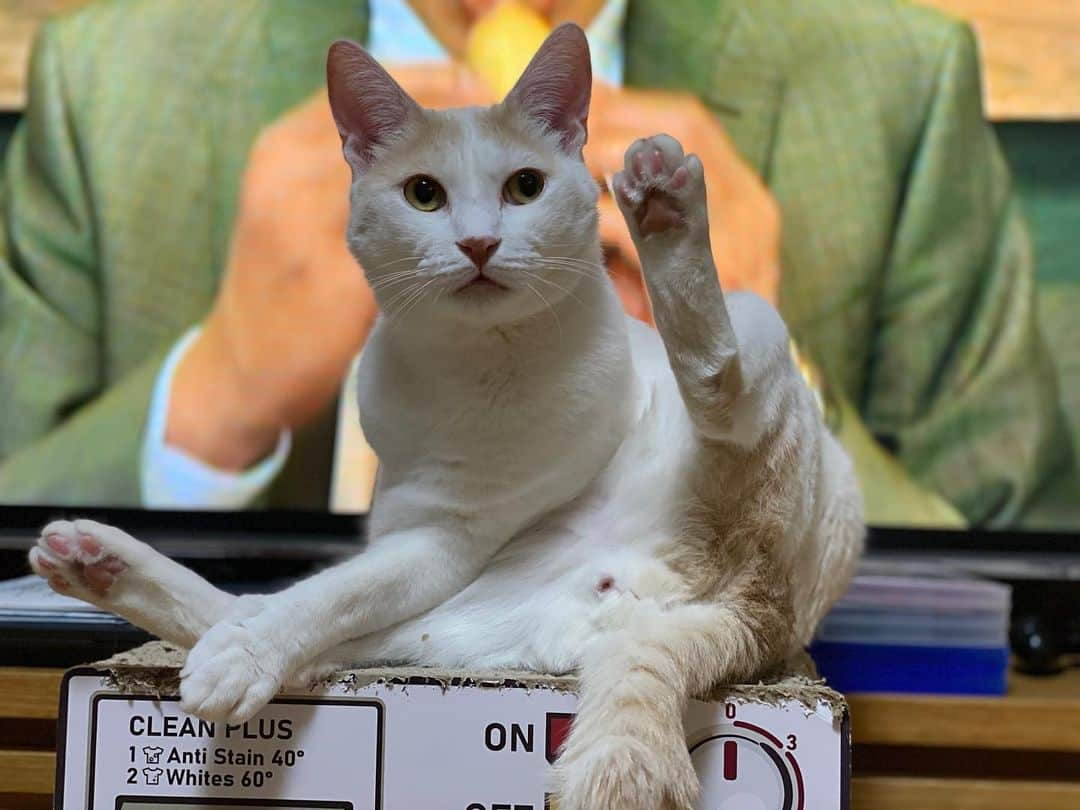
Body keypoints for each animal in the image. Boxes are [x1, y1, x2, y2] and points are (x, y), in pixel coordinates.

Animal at [29, 27, 864, 810]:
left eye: (524, 187)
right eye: (423, 194)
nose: (479, 242)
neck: (468, 367)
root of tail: (752, 604)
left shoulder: (443, 539)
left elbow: (322, 595)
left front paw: (243, 661)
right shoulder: (425, 539)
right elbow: (319, 596)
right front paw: (236, 648)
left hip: (756, 336)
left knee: (721, 382)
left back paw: (665, 208)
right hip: (438, 622)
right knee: (269, 619)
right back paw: (95, 561)